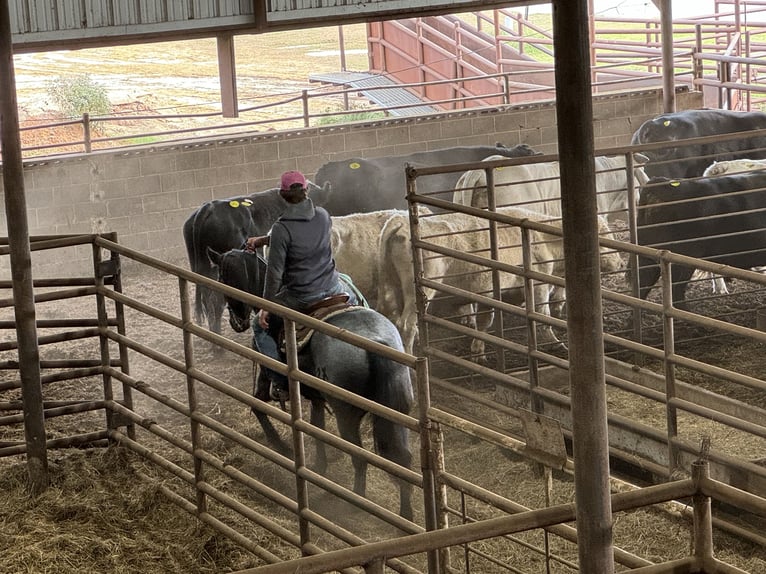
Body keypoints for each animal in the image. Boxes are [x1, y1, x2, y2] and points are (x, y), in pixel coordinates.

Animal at [207, 248, 416, 520]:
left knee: (360, 457)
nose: (236, 323)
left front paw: (283, 447)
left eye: (222, 277)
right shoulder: (316, 396)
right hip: (397, 412)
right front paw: (319, 465)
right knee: (403, 460)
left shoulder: (264, 374)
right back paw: (406, 513)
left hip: (347, 414)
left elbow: (257, 405)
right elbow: (317, 427)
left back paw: (355, 502)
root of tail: (377, 342)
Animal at [378, 207, 624, 360]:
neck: (544, 238)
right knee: (407, 325)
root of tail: (399, 222)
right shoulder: (538, 284)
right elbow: (541, 314)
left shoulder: (489, 293)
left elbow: (485, 320)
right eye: (604, 237)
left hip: (392, 286)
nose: (621, 263)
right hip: (418, 290)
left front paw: (478, 350)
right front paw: (554, 343)